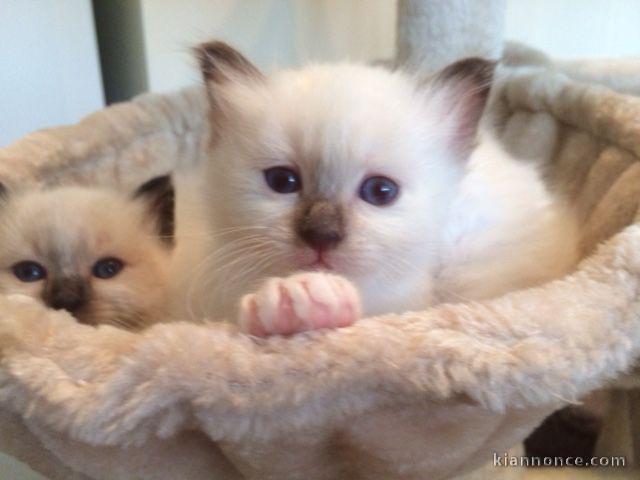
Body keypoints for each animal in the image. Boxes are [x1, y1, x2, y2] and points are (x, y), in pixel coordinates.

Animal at [178, 42, 576, 338]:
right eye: (282, 182)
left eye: (381, 192)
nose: (321, 235)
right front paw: (290, 302)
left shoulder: (412, 299)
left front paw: (305, 298)